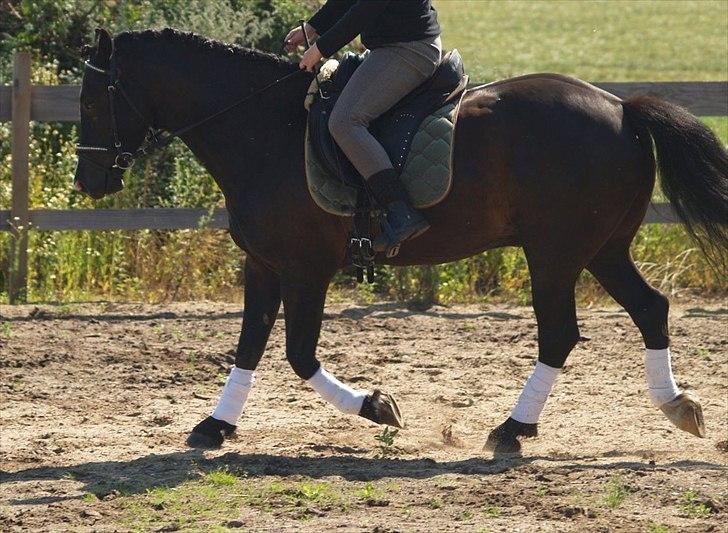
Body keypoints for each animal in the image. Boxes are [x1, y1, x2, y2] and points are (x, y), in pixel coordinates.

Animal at [75, 29, 728, 454]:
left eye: (89, 99)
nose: (88, 181)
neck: (263, 130)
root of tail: (622, 107)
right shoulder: (263, 264)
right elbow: (249, 346)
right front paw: (215, 426)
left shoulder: (306, 268)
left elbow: (299, 354)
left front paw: (376, 407)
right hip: (602, 251)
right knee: (651, 309)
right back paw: (677, 406)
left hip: (556, 255)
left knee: (561, 334)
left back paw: (513, 430)